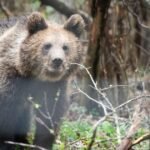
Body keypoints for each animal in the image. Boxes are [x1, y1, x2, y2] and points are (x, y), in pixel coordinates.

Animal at [0, 12, 85, 149]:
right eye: (47, 45)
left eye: (65, 47)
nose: (57, 60)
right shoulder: (11, 82)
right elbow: (6, 118)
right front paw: (7, 144)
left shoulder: (53, 87)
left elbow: (49, 115)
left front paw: (41, 144)